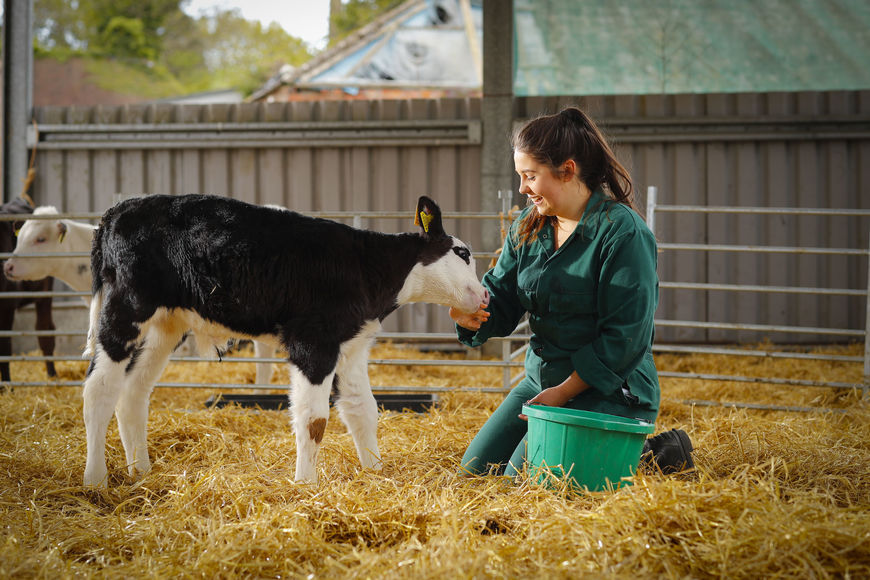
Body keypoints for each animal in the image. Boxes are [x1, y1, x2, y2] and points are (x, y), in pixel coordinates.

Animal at [82, 194, 490, 484]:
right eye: (463, 252)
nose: (485, 296)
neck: (365, 267)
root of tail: (118, 211)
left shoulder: (352, 345)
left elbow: (363, 410)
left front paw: (375, 473)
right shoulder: (312, 343)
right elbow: (314, 419)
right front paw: (305, 485)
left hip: (165, 325)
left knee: (132, 394)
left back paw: (141, 471)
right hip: (124, 311)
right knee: (99, 390)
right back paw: (95, 480)